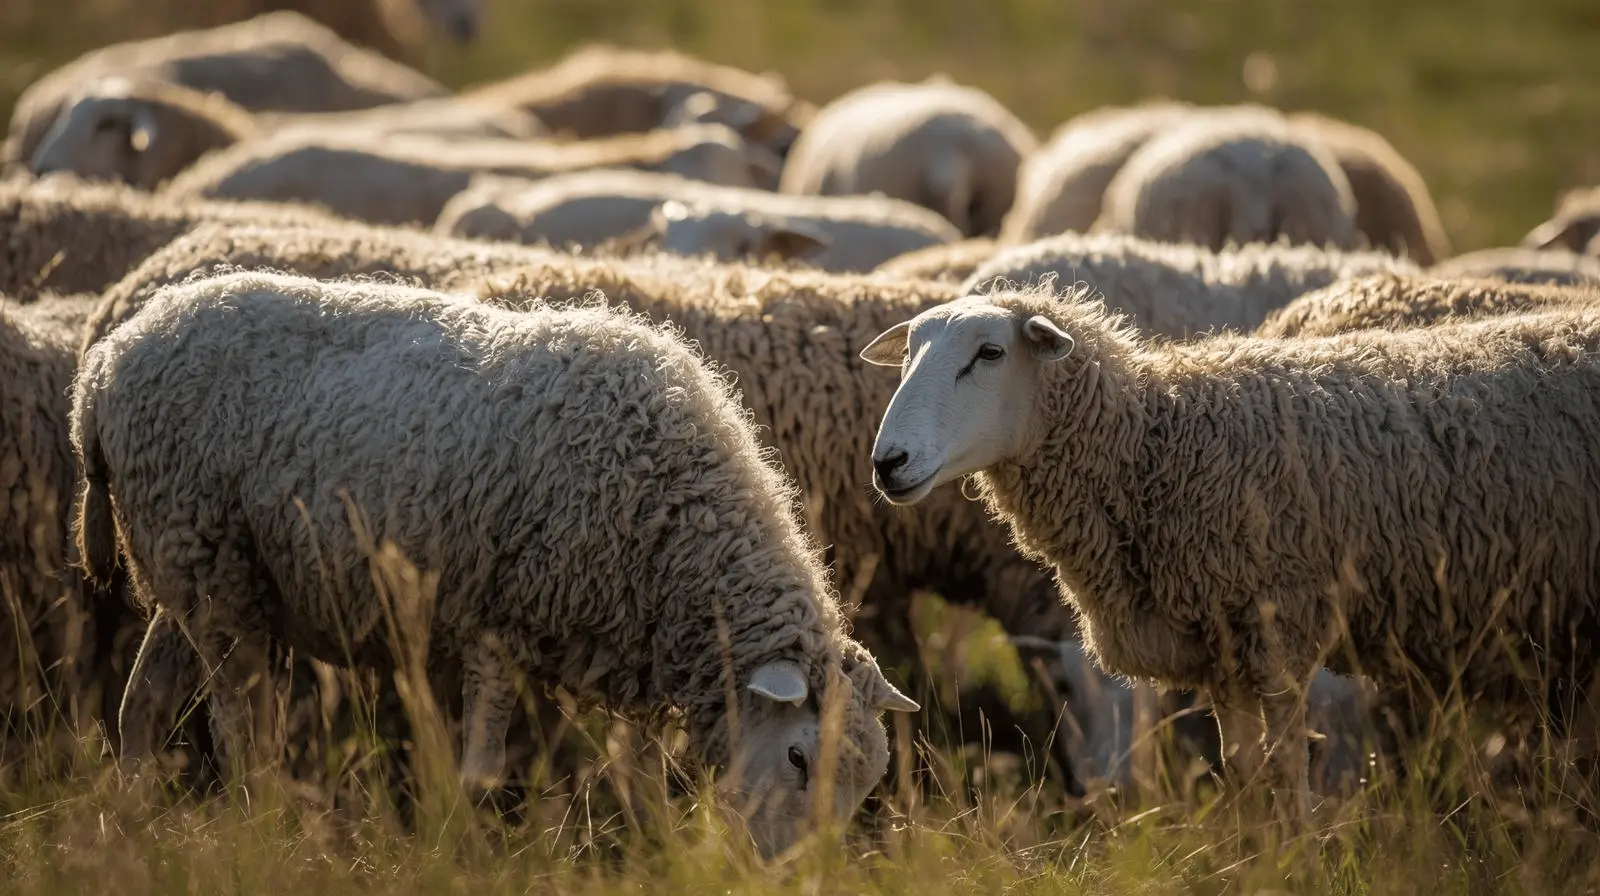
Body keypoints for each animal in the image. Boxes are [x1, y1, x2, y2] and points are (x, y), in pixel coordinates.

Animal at [72, 270, 919, 856]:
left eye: (867, 780)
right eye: (800, 757)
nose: (797, 874)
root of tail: (105, 365)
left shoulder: (616, 639)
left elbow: (638, 774)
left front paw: (658, 851)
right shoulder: (494, 623)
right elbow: (480, 772)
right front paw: (464, 851)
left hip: (191, 570)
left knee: (142, 705)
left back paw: (129, 824)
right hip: (211, 570)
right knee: (243, 732)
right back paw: (261, 831)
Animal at [861, 290, 1600, 823]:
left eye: (988, 353)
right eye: (908, 354)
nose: (887, 462)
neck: (1155, 447)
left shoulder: (1279, 634)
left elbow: (1286, 771)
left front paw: (1296, 861)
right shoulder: (1220, 652)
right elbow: (1243, 773)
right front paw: (1253, 857)